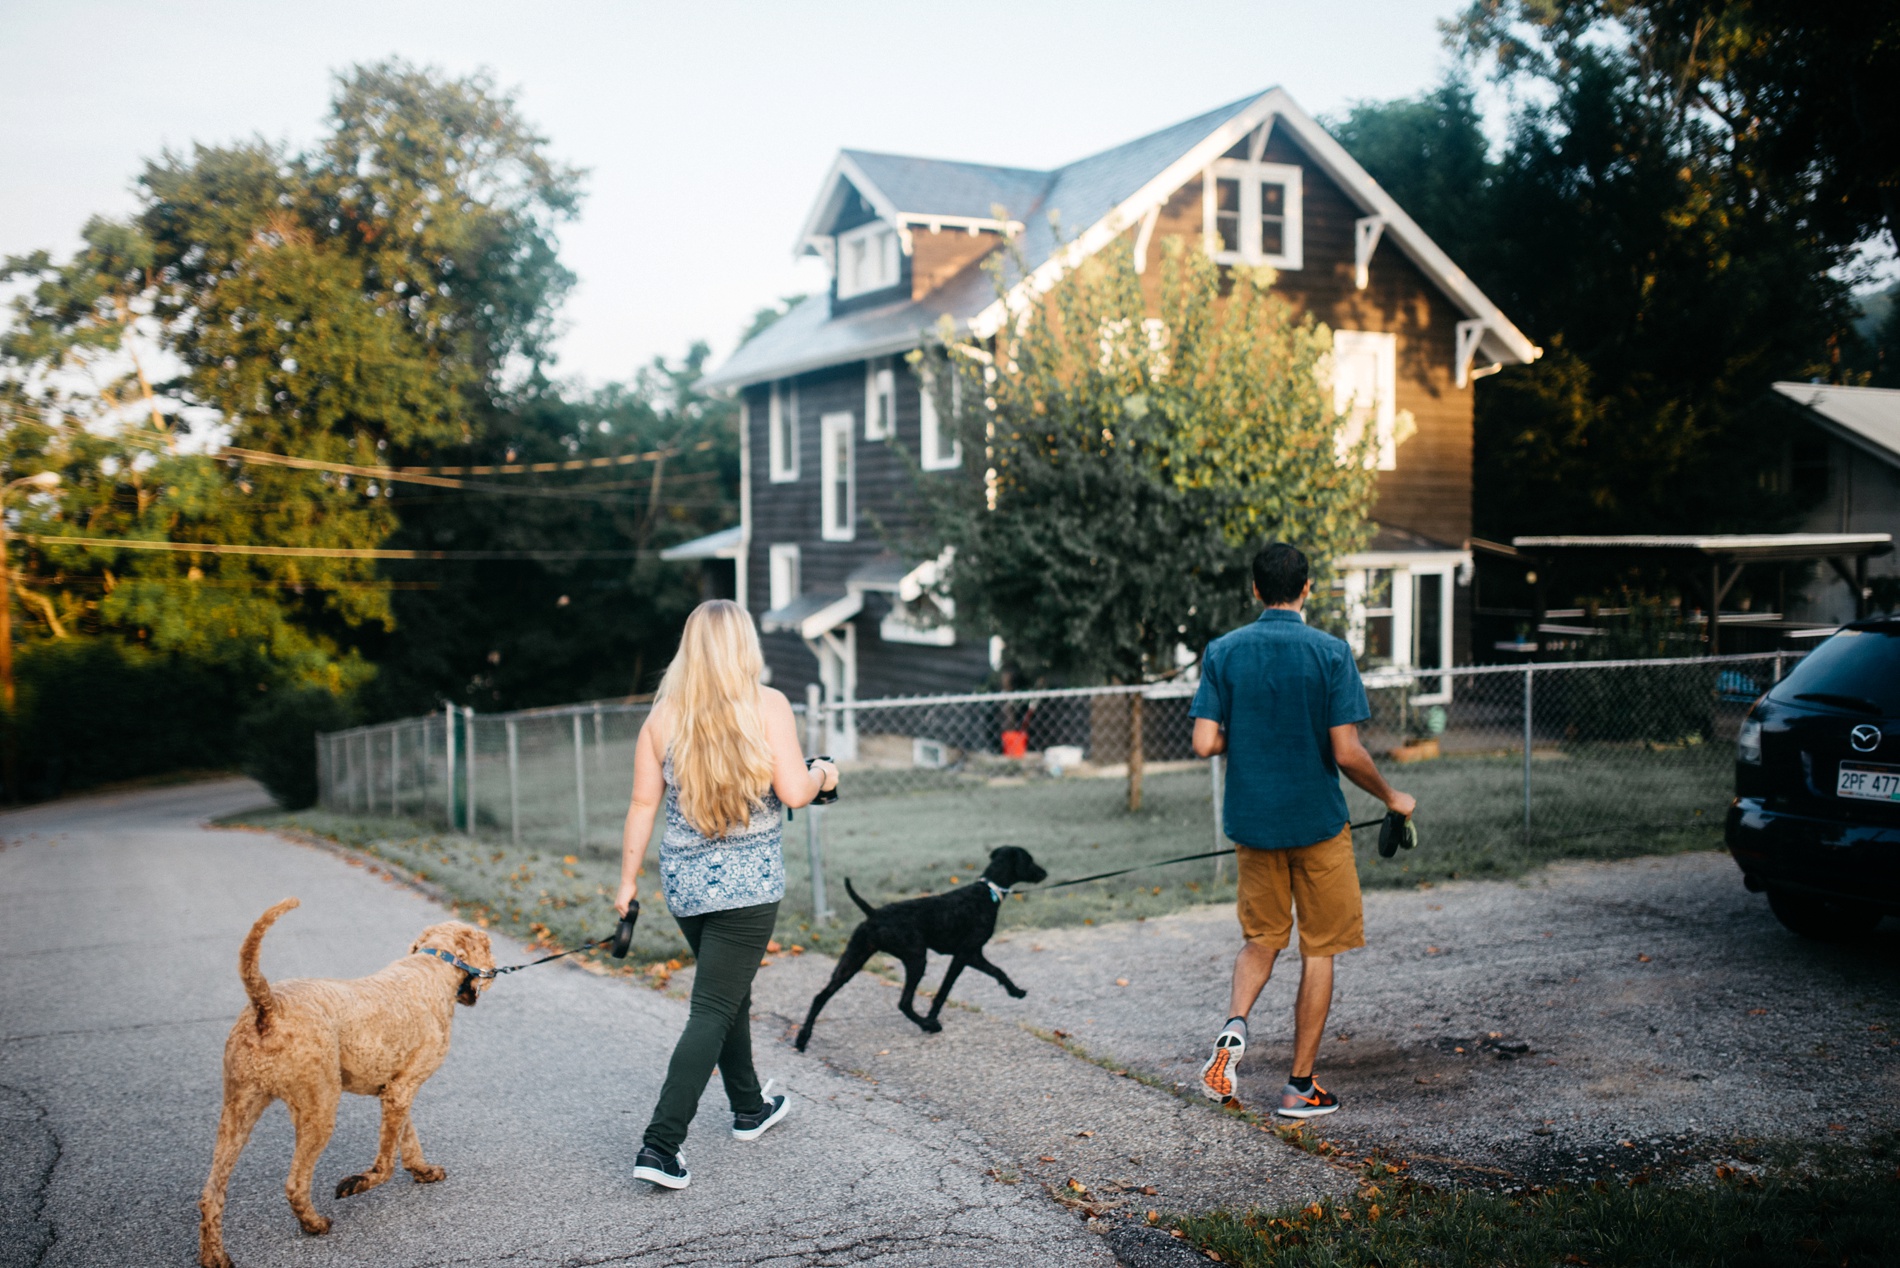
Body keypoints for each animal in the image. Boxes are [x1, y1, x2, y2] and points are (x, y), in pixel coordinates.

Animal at [199, 897, 494, 1268]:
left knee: (211, 1192)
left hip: (239, 1108)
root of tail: (268, 1007)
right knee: (295, 1184)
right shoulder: (402, 1088)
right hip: (319, 1108)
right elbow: (385, 1164)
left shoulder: (394, 1090)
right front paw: (357, 1183)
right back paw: (314, 1224)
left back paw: (214, 1256)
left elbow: (406, 1138)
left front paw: (423, 1170)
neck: (433, 962)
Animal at [790, 844, 1048, 1049]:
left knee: (821, 996)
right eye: (1029, 859)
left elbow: (997, 971)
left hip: (852, 959)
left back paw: (803, 1038)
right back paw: (929, 1024)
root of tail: (874, 915)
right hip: (916, 958)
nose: (1045, 872)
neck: (988, 892)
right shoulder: (964, 954)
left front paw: (1015, 990)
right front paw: (932, 1018)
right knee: (904, 1002)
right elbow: (945, 991)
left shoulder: (973, 955)